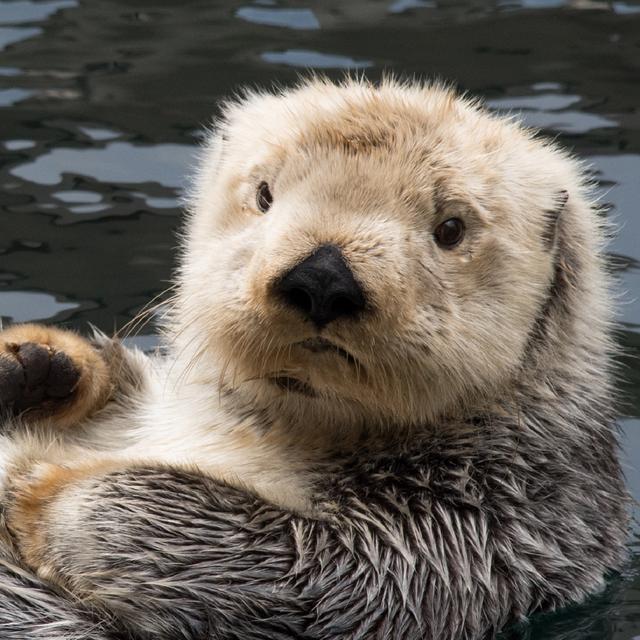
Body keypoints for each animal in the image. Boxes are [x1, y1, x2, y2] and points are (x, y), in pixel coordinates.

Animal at [0, 80, 628, 640]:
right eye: (264, 195)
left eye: (450, 228)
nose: (322, 278)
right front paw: (33, 364)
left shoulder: (483, 528)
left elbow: (321, 572)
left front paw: (43, 490)